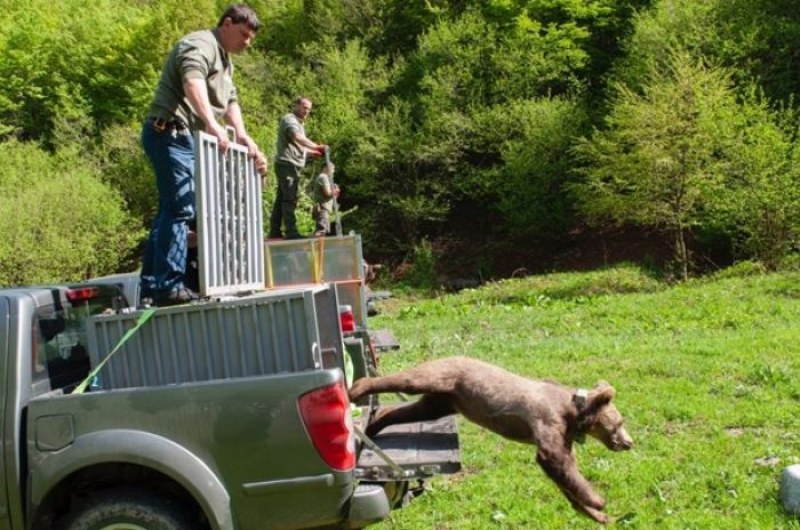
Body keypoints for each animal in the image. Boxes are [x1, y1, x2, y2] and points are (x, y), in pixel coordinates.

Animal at [348, 352, 632, 520]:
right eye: (618, 423)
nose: (629, 442)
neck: (572, 415)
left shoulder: (565, 437)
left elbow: (564, 474)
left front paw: (595, 513)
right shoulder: (547, 420)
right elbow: (555, 461)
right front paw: (598, 500)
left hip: (444, 401)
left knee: (411, 410)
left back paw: (374, 424)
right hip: (443, 377)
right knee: (409, 379)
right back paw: (357, 388)